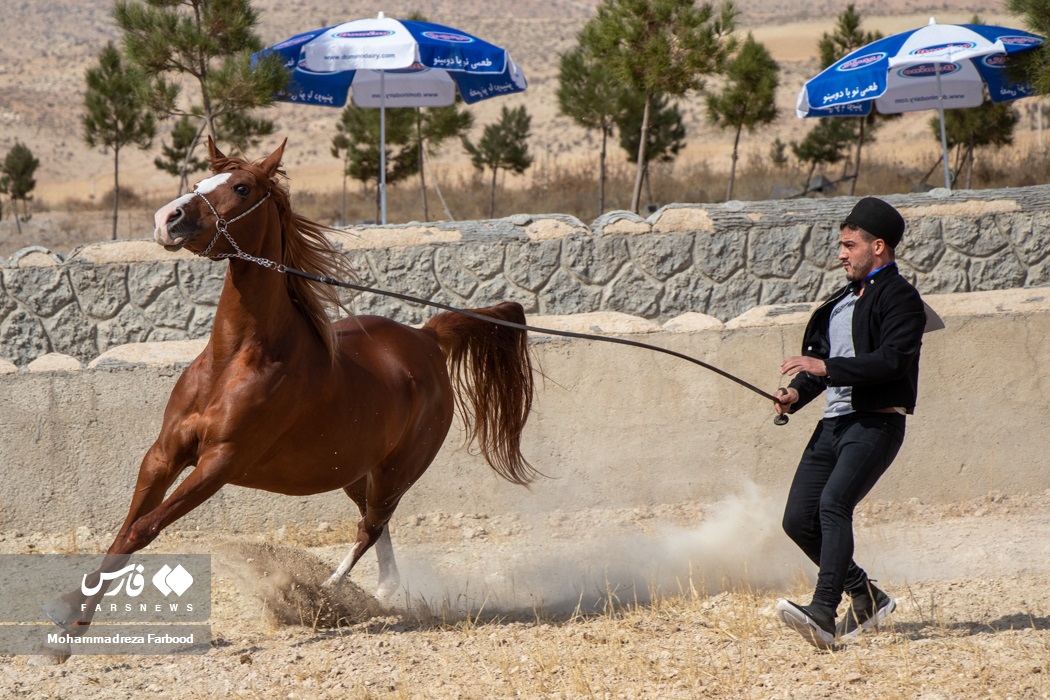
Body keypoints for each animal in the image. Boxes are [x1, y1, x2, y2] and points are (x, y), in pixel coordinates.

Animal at [45, 136, 537, 646]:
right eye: (201, 180)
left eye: (241, 187)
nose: (167, 219)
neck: (236, 360)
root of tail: (426, 337)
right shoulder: (164, 453)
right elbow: (126, 530)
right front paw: (69, 618)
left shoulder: (221, 461)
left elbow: (144, 529)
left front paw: (71, 620)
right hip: (355, 470)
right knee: (376, 526)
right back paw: (380, 590)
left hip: (397, 473)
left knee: (369, 528)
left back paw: (323, 595)